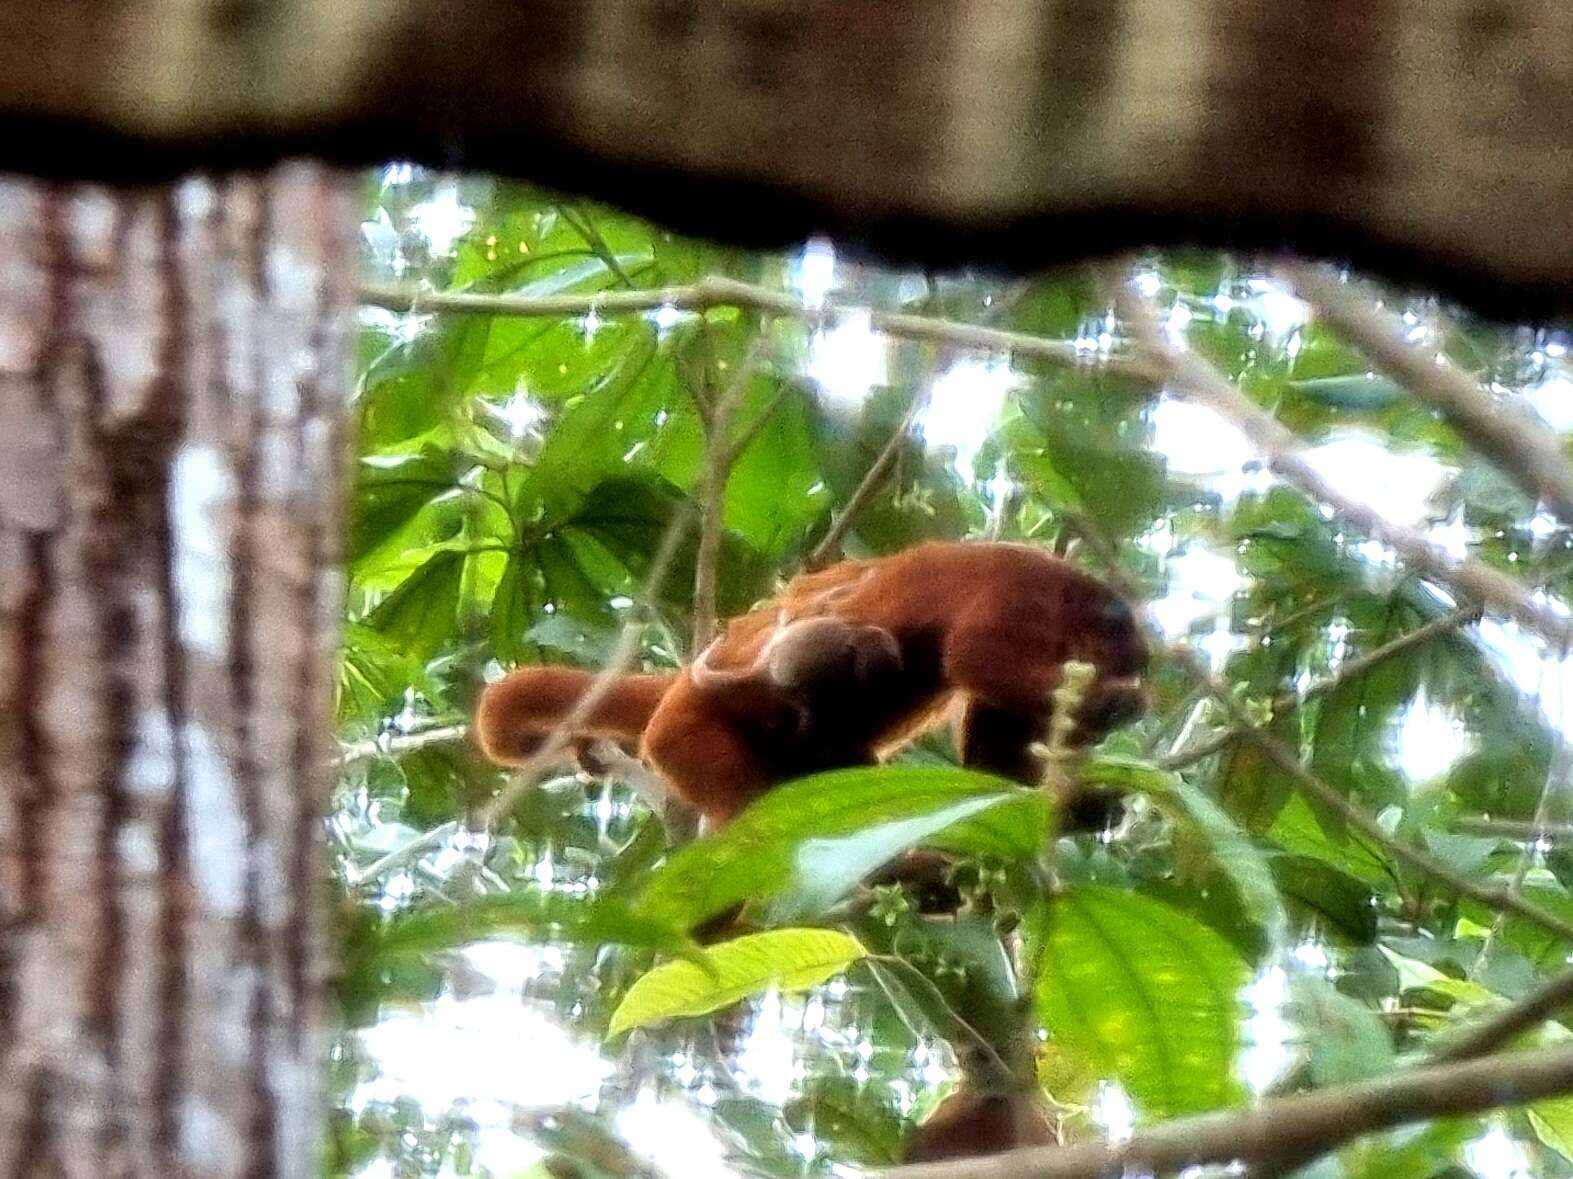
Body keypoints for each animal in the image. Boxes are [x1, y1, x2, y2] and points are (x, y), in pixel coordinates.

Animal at [471, 543, 1151, 830]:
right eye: (1127, 651)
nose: (1140, 671)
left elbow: (993, 756)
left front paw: (1070, 804)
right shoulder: (1020, 595)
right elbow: (976, 655)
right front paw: (1109, 704)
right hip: (686, 733)